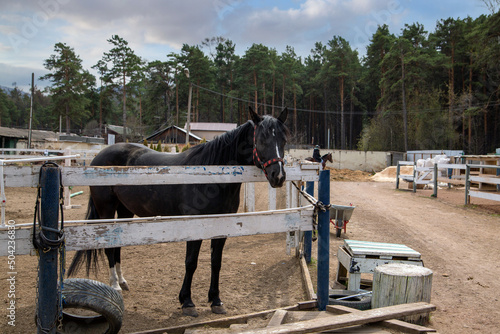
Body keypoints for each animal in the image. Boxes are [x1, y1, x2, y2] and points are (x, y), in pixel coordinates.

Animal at [70, 107, 290, 316]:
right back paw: (115, 285)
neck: (211, 175)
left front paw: (216, 300)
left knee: (117, 245)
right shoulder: (193, 225)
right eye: (261, 139)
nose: (278, 176)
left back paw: (122, 281)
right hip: (106, 210)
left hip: (125, 211)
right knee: (108, 247)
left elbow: (216, 262)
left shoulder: (221, 226)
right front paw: (187, 302)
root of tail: (98, 157)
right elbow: (191, 263)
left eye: (283, 139)